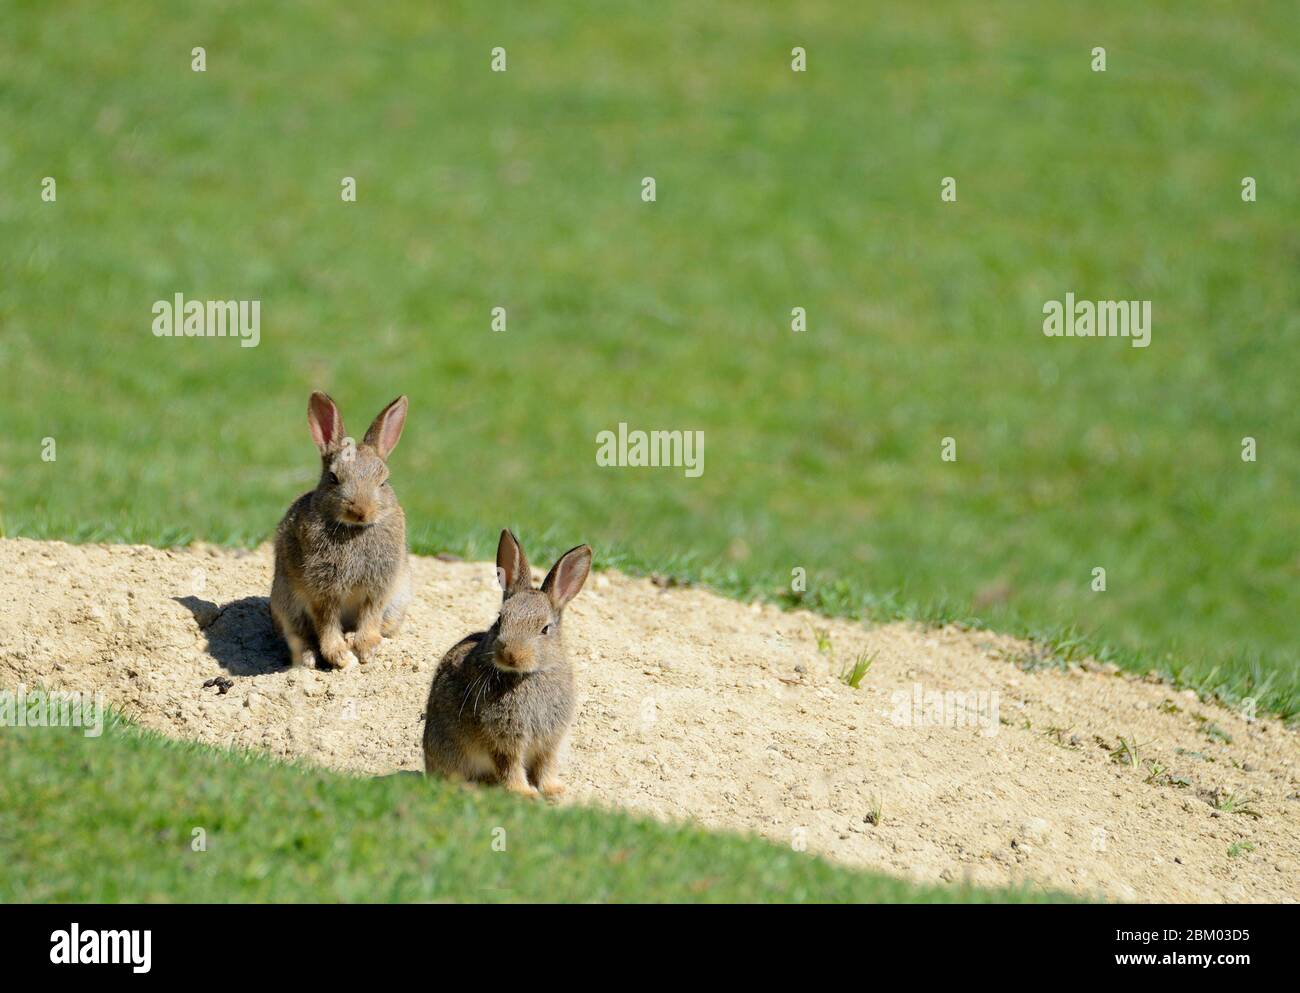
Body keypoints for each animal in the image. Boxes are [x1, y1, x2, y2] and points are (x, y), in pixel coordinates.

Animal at [270, 390, 412, 671]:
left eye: (384, 482)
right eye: (333, 478)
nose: (362, 511)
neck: (354, 530)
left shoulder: (378, 586)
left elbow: (370, 615)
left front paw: (366, 648)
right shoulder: (322, 589)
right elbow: (326, 620)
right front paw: (339, 655)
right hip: (287, 607)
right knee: (299, 639)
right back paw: (310, 657)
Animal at [423, 529, 591, 797]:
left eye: (545, 629)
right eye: (500, 620)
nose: (511, 654)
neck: (527, 676)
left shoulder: (550, 740)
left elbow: (546, 765)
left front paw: (554, 791)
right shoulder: (503, 739)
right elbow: (509, 766)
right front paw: (524, 793)